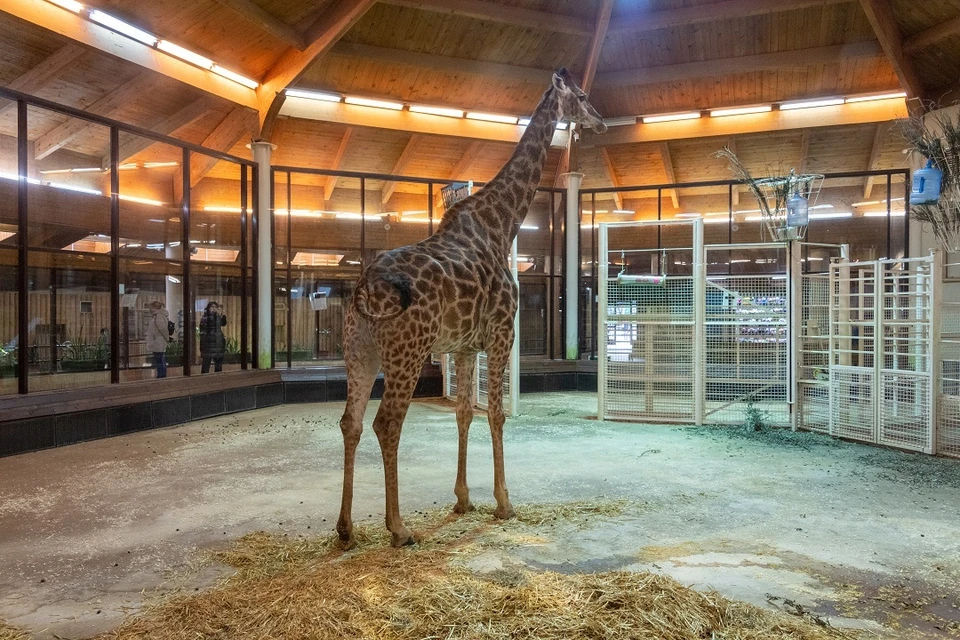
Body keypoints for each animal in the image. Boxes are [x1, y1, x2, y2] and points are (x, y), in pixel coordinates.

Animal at [338, 70, 608, 552]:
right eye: (580, 96)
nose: (601, 121)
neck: (502, 224)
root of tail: (364, 288)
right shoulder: (502, 332)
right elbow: (496, 414)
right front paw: (504, 502)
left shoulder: (464, 347)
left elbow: (465, 411)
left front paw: (463, 498)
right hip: (405, 354)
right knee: (386, 424)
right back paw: (398, 528)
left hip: (360, 351)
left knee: (350, 422)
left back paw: (346, 529)